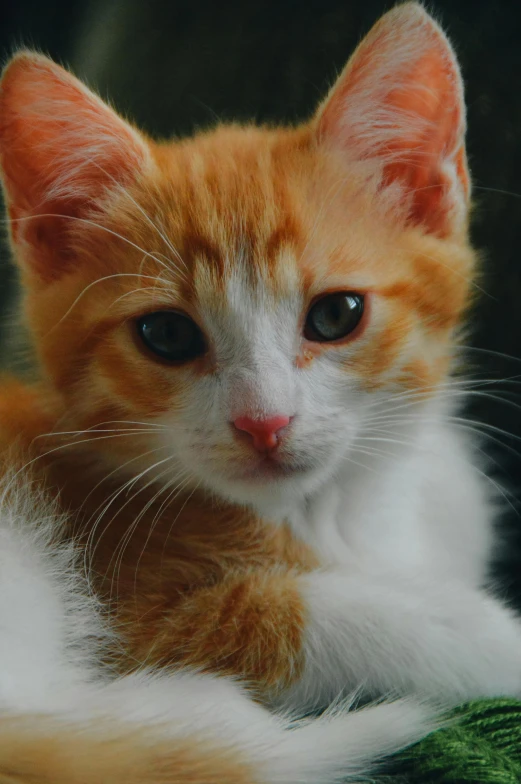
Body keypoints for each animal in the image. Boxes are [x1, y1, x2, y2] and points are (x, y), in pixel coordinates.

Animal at [1, 1, 520, 764]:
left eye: (336, 314)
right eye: (167, 335)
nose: (263, 422)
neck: (333, 512)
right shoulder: (138, 603)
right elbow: (290, 615)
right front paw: (492, 636)